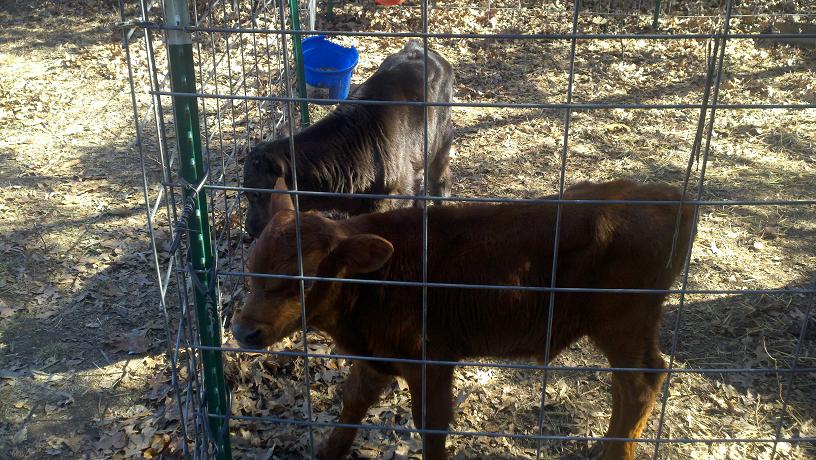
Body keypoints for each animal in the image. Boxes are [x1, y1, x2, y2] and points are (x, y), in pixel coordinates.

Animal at [232, 179, 696, 460]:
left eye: (303, 279)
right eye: (251, 267)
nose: (243, 329)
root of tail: (672, 197)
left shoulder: (431, 361)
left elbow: (432, 424)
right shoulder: (375, 358)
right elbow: (352, 404)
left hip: (623, 322)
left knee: (642, 382)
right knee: (631, 382)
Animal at [243, 40, 455, 239]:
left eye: (256, 194)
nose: (250, 230)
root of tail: (418, 48)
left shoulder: (397, 196)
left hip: (441, 142)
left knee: (440, 179)